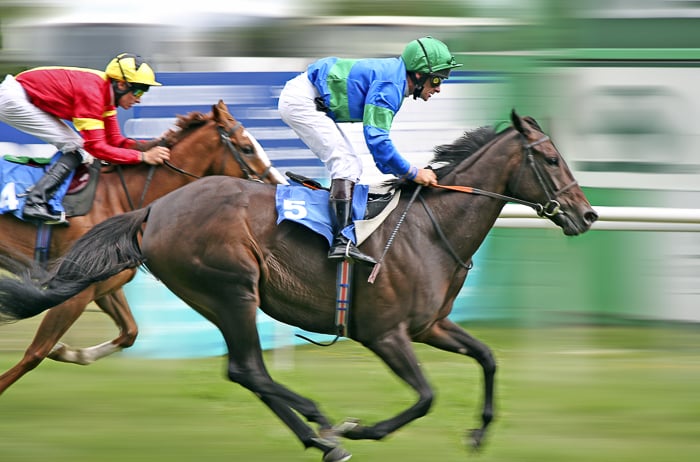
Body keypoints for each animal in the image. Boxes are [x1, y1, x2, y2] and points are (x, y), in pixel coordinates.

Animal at [0, 99, 288, 396]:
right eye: (247, 148)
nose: (280, 186)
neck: (118, 197)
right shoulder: (73, 289)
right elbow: (35, 352)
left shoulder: (101, 283)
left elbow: (130, 332)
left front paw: (68, 351)